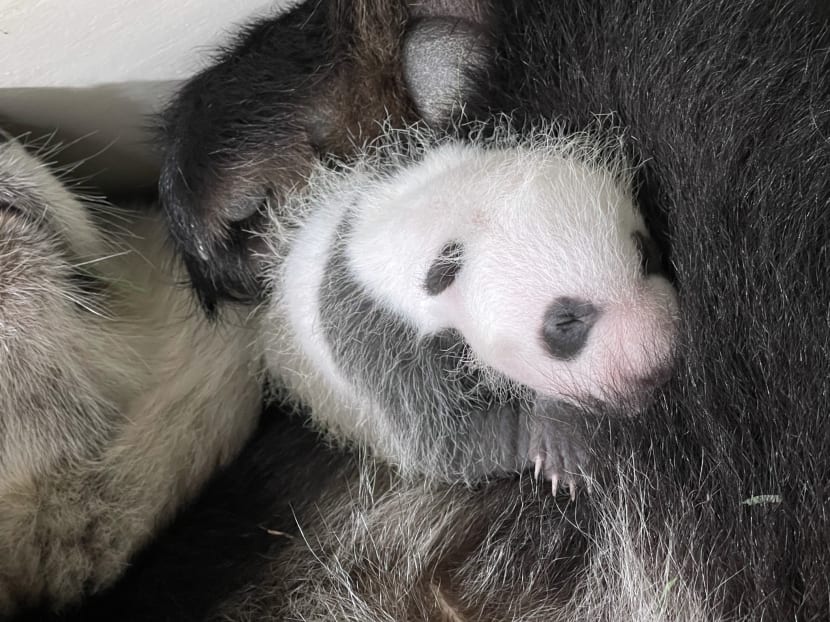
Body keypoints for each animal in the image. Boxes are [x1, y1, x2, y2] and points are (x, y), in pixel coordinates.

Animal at [17, 0, 830, 619]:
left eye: (645, 253)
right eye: (562, 325)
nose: (656, 360)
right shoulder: (379, 345)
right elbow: (441, 434)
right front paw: (556, 436)